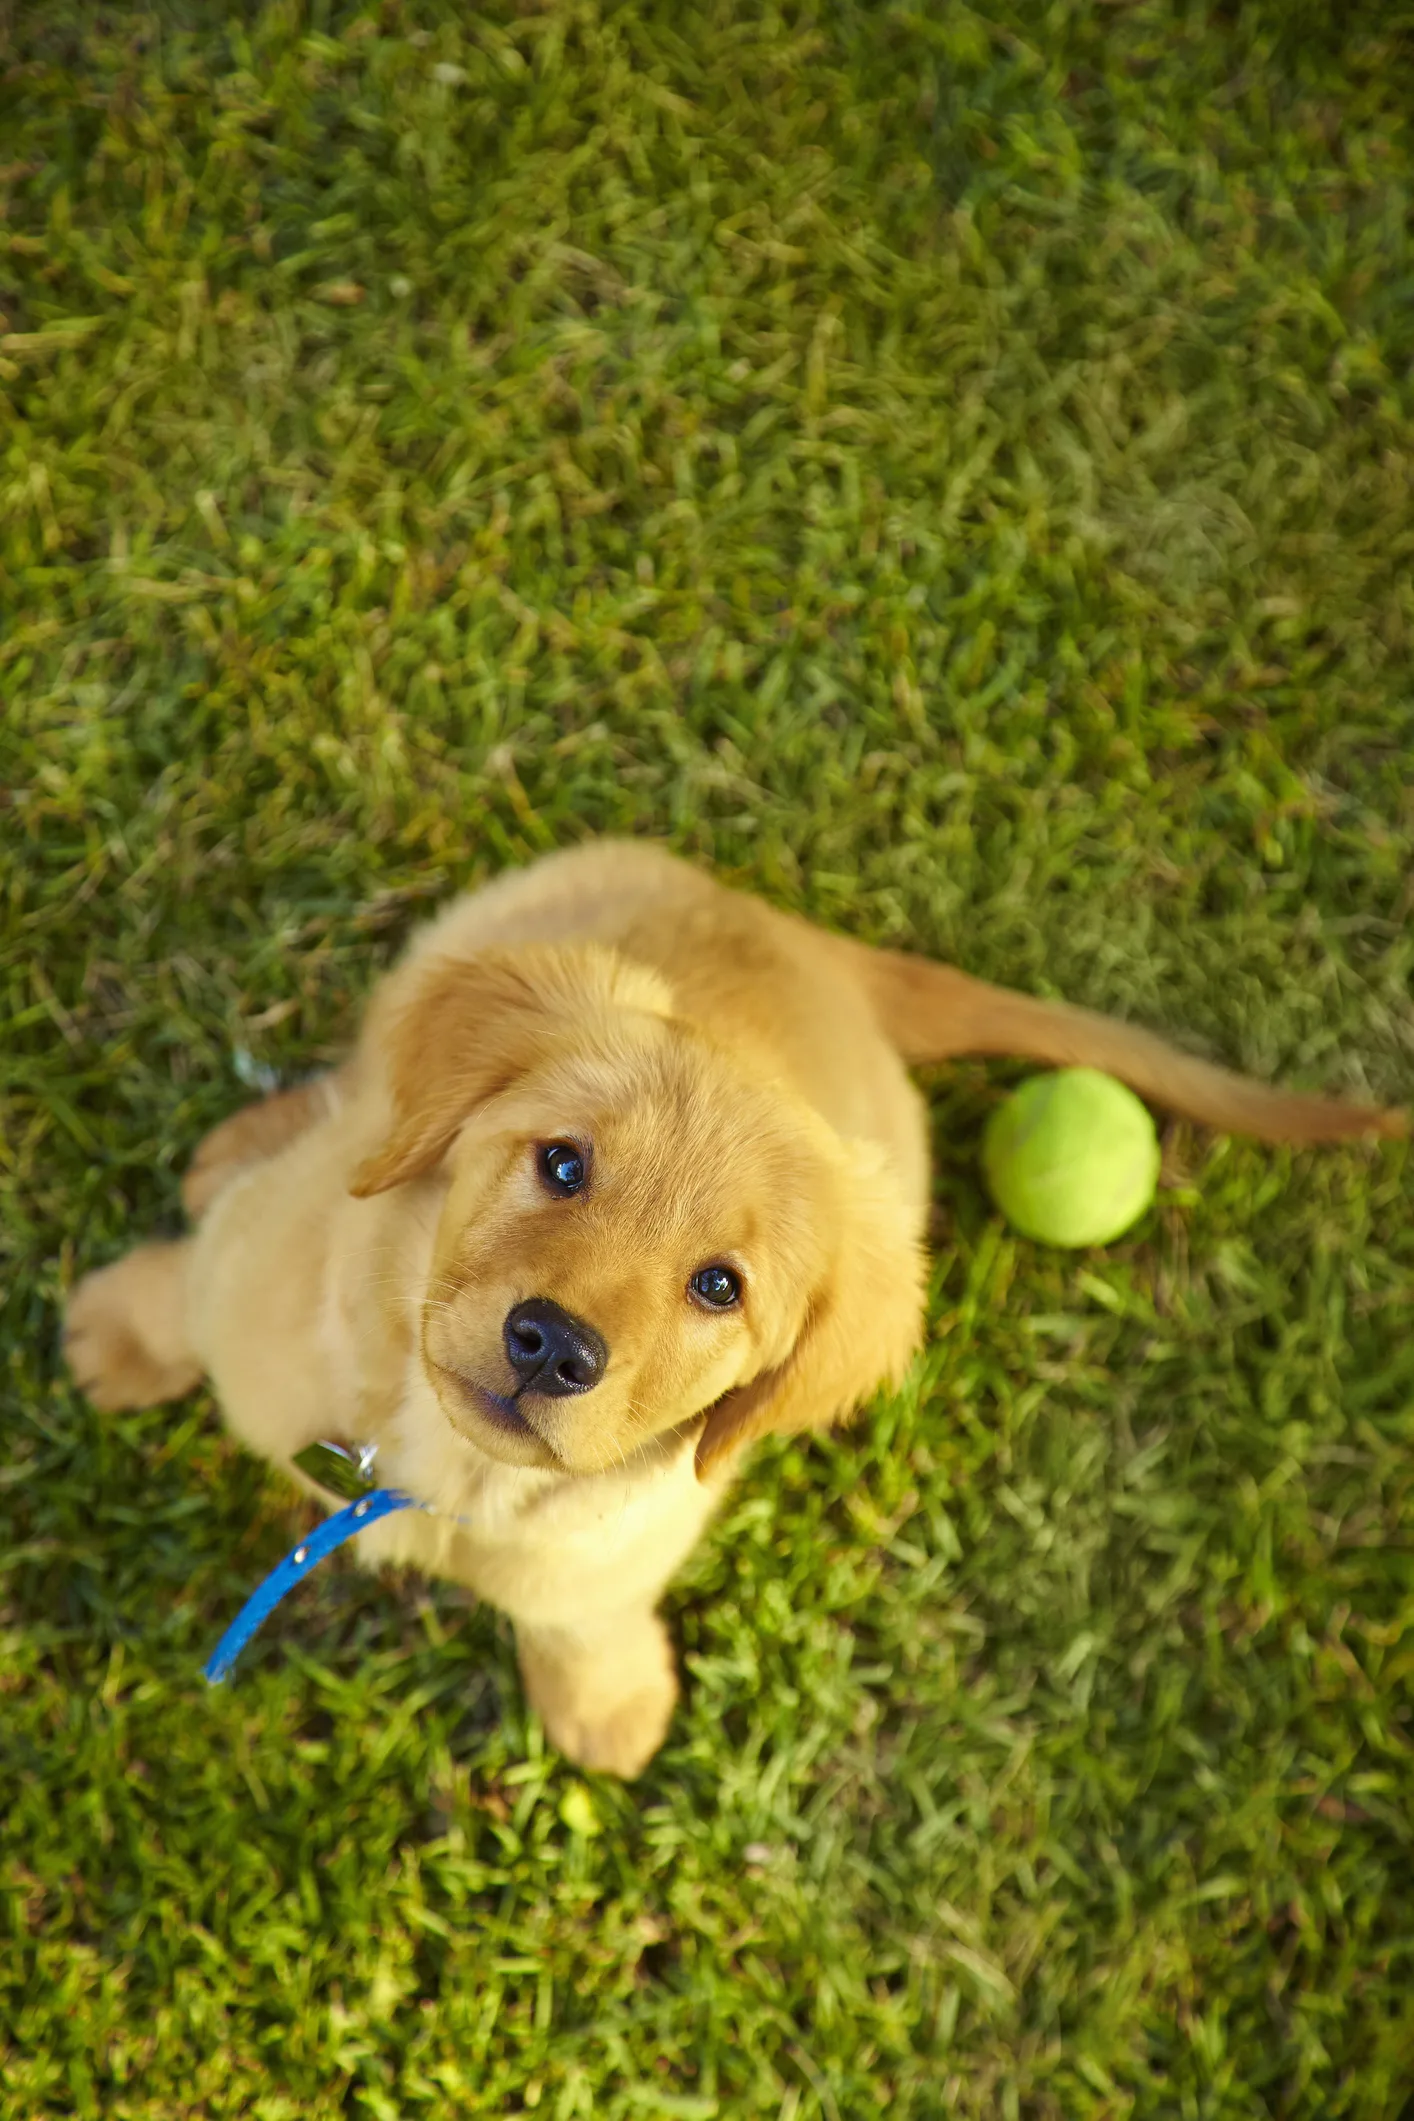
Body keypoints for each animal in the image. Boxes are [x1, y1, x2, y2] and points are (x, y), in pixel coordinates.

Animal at [66, 839, 1407, 1773]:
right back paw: (245, 1144)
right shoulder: (257, 1288)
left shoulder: (619, 1537)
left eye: (720, 1286)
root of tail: (821, 948)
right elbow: (189, 1289)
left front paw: (605, 1705)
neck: (445, 1468)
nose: (552, 1348)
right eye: (563, 1165)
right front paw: (116, 1336)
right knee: (363, 1083)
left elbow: (583, 1615)